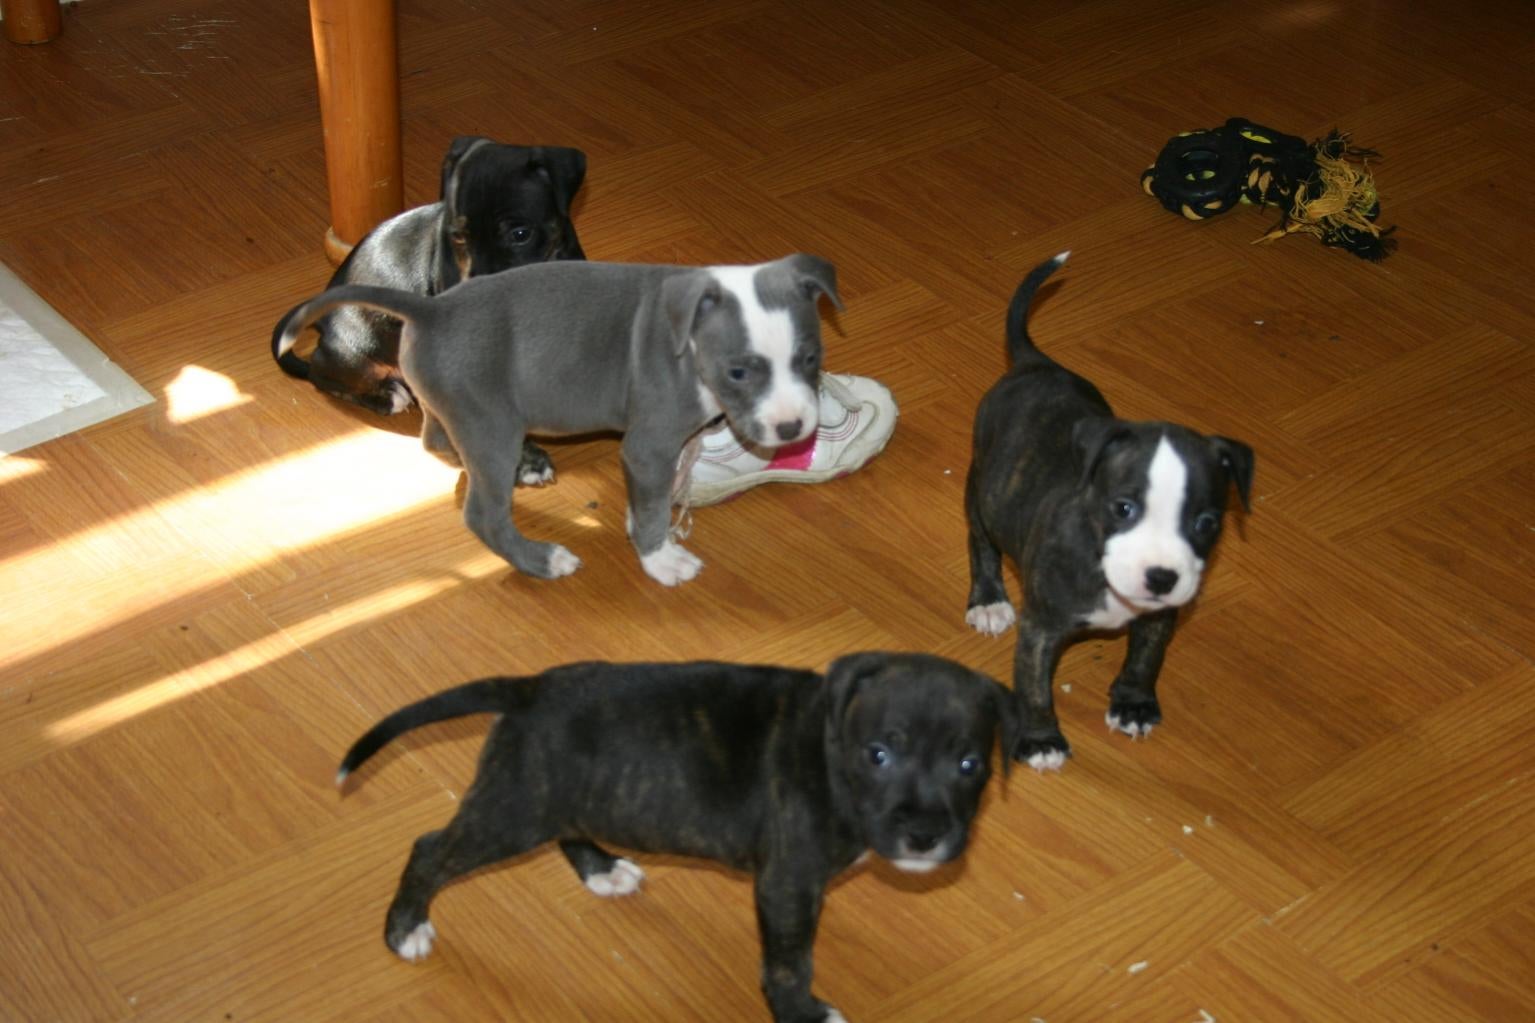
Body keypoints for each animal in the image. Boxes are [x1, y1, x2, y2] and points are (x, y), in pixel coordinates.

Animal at [337, 654, 1013, 1019]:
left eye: (970, 764)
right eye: (879, 754)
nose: (924, 834)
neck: (831, 751)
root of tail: (529, 688)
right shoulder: (788, 887)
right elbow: (790, 963)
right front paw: (804, 1015)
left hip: (563, 800)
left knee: (570, 830)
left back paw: (603, 869)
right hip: (512, 811)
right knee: (431, 850)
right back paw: (405, 929)